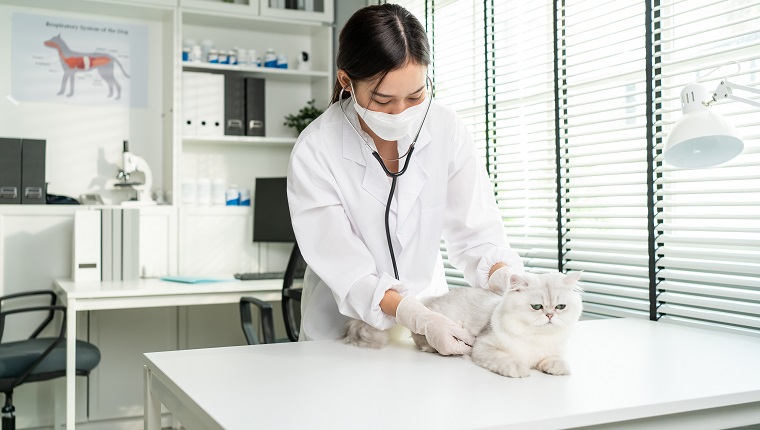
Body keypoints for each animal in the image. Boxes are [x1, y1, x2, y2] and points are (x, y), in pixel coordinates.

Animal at [338, 270, 580, 378]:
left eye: (560, 307)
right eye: (537, 307)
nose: (549, 315)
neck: (537, 340)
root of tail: (427, 302)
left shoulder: (551, 351)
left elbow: (554, 360)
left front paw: (557, 368)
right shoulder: (484, 346)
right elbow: (507, 360)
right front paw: (520, 370)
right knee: (419, 338)